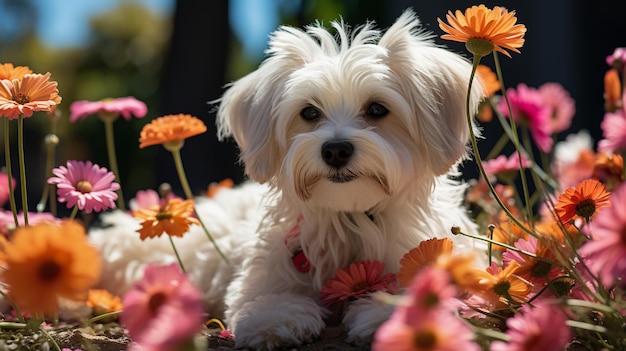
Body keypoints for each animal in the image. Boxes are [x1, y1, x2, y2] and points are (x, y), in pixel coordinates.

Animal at [90, 8, 486, 351]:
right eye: (309, 112)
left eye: (377, 109)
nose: (335, 150)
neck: (348, 217)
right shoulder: (266, 270)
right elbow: (269, 299)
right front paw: (274, 320)